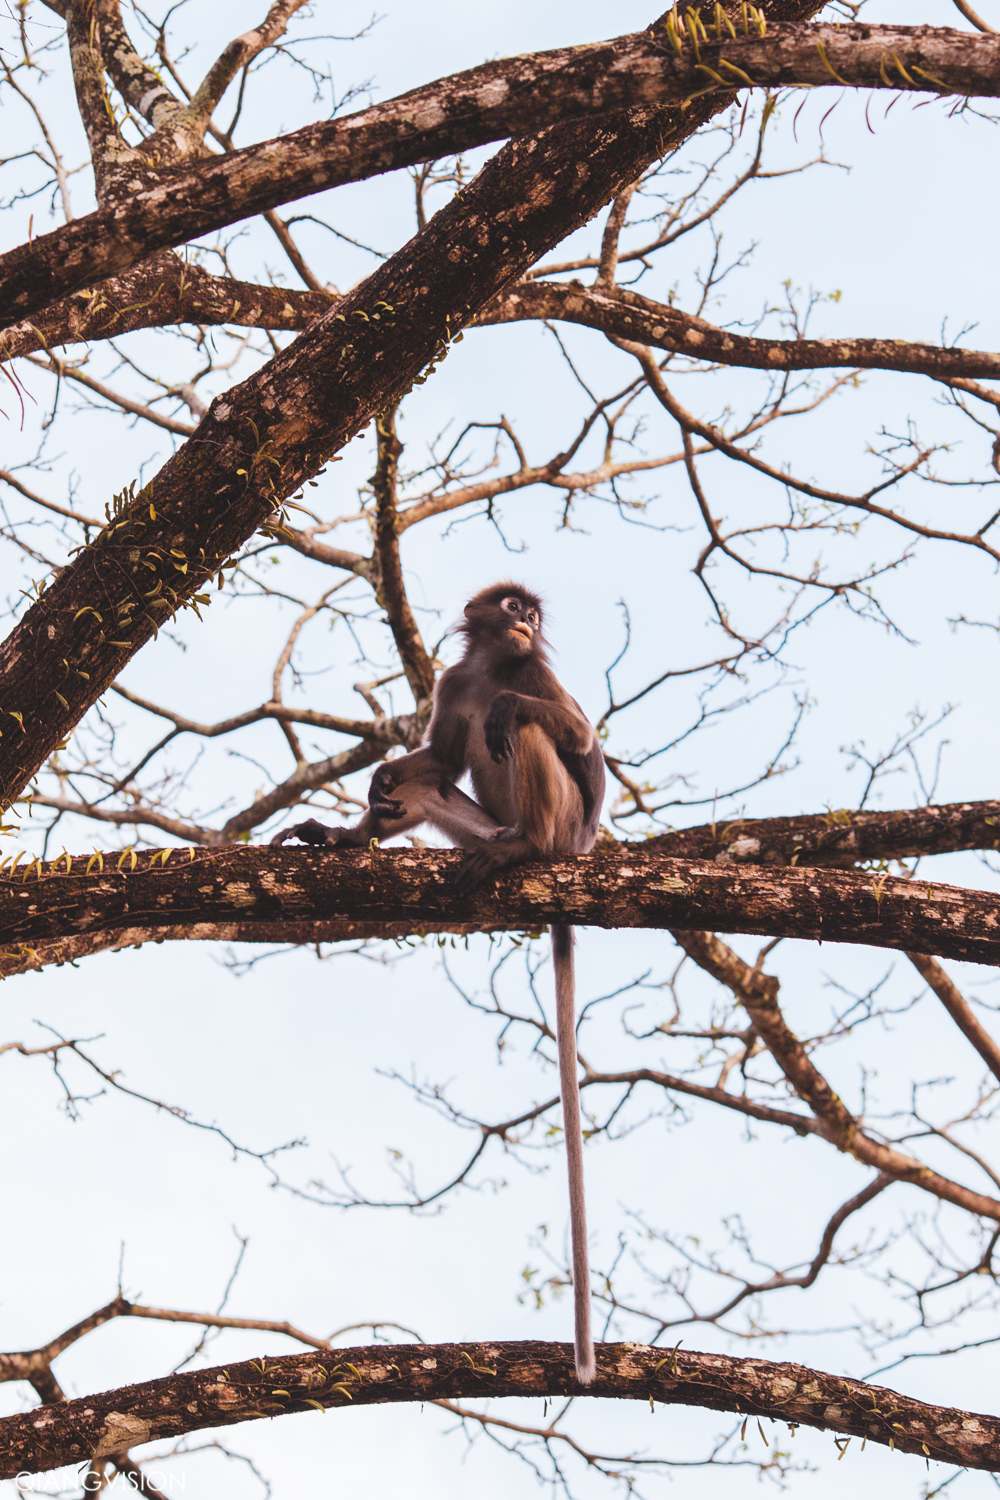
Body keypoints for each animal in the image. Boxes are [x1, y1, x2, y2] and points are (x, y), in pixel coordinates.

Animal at [269, 582, 605, 1380]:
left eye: (533, 617)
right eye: (514, 607)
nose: (527, 621)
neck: (493, 666)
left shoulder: (535, 676)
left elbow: (576, 738)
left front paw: (512, 709)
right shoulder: (456, 683)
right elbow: (441, 758)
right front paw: (365, 801)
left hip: (568, 828)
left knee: (531, 733)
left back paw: (523, 846)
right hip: (471, 827)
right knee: (418, 788)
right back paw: (355, 832)